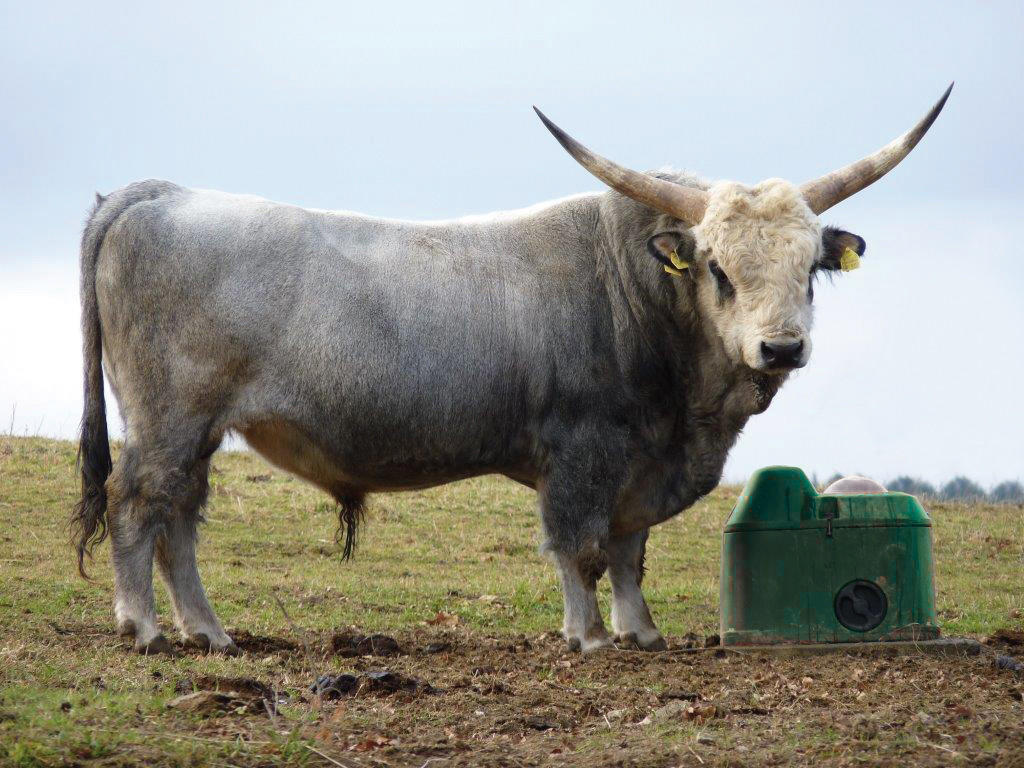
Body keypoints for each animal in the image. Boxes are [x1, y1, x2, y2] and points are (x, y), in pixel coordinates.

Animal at [72, 88, 950, 655]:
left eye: (809, 269)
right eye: (719, 269)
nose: (781, 348)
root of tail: (157, 194)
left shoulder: (640, 468)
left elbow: (629, 551)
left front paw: (641, 632)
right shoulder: (582, 453)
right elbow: (580, 548)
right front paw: (588, 637)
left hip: (196, 432)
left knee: (180, 519)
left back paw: (209, 632)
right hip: (169, 419)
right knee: (136, 505)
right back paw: (142, 626)